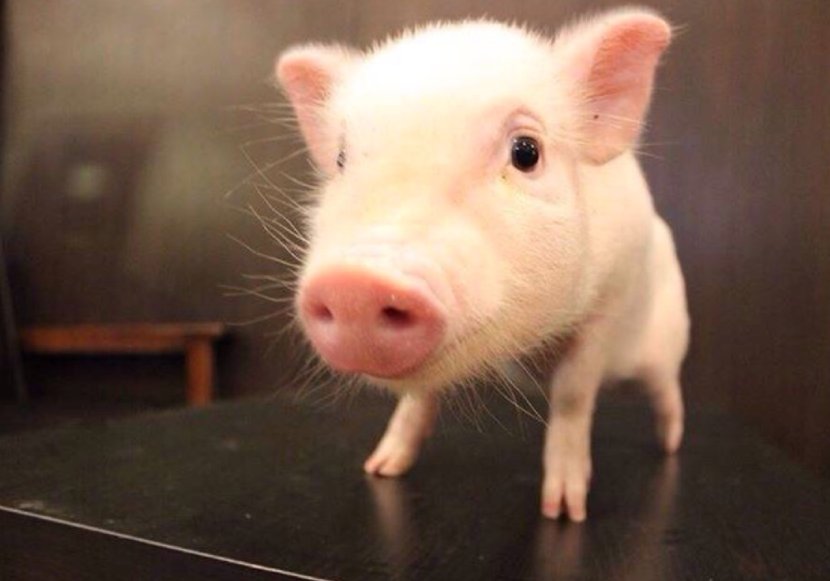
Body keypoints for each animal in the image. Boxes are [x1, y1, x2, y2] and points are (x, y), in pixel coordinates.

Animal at [275, 7, 688, 522]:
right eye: (341, 158)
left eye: (526, 152)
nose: (356, 283)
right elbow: (418, 398)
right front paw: (380, 469)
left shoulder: (607, 305)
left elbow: (574, 396)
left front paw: (563, 512)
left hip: (665, 341)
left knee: (667, 390)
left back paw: (671, 445)